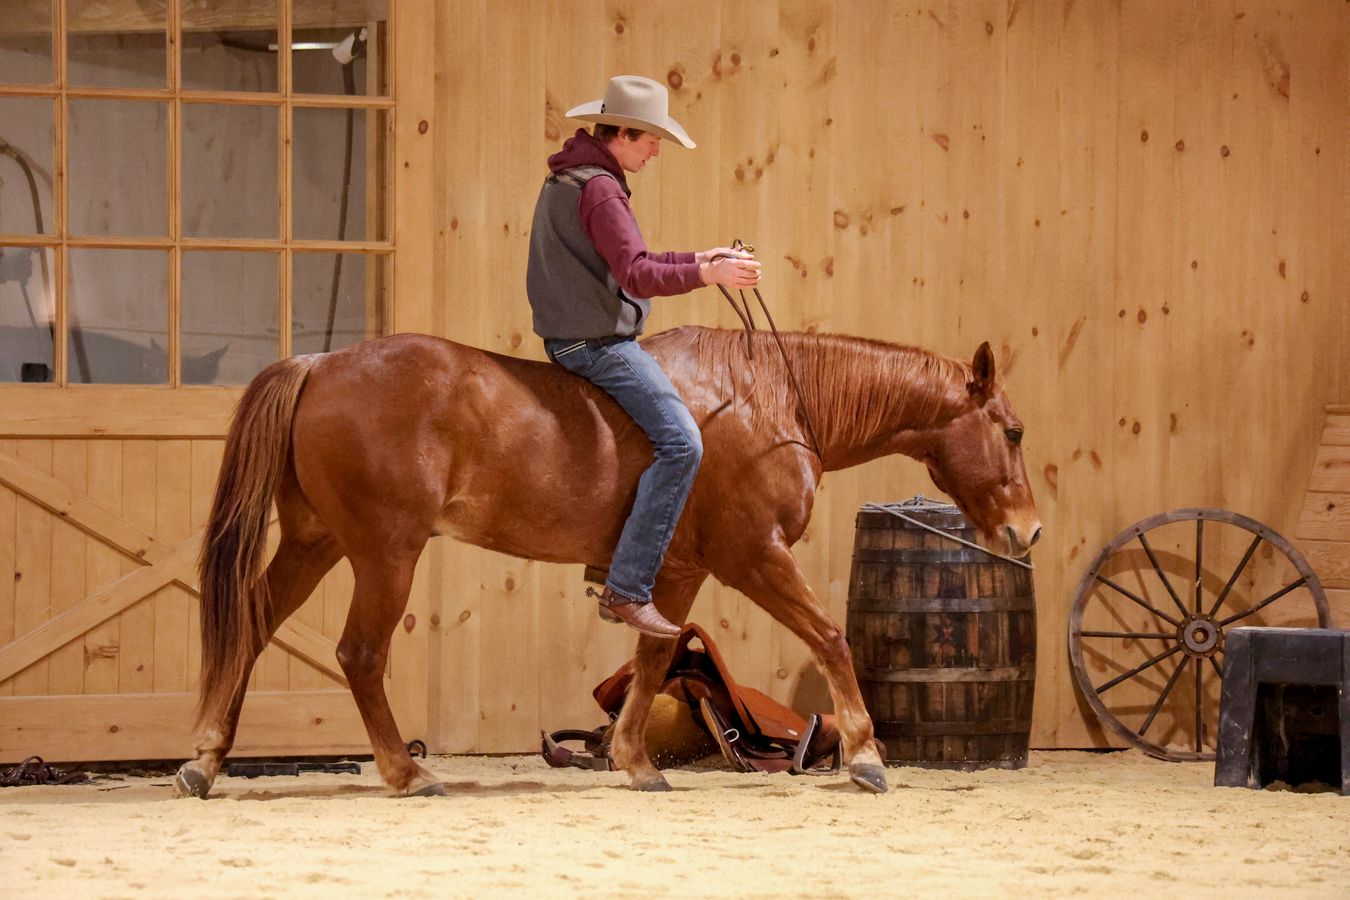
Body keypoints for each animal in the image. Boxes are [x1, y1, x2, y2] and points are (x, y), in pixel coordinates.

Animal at [175, 325, 1041, 798]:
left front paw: (633, 760)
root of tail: (322, 363)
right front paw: (865, 754)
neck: (766, 402)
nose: (1029, 532)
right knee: (360, 653)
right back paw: (406, 772)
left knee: (251, 628)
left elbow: (655, 658)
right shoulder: (753, 556)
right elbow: (830, 636)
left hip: (317, 543)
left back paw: (206, 760)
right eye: (1014, 429)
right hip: (384, 551)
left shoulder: (681, 571)